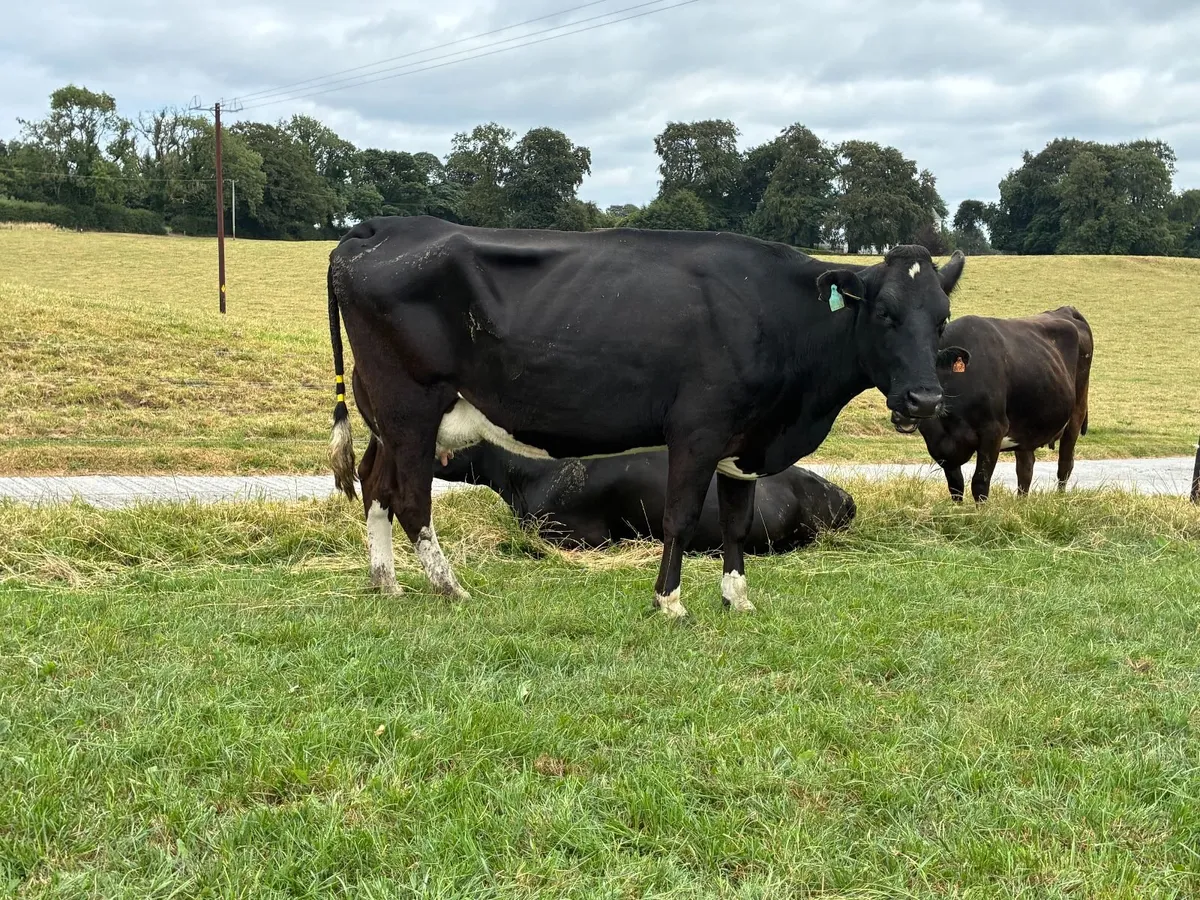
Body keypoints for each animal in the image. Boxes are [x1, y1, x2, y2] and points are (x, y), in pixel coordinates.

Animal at [890, 306, 1093, 503]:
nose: (902, 412)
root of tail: (1066, 310)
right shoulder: (940, 446)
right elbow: (956, 485)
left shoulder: (993, 431)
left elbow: (980, 483)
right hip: (1026, 426)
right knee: (1025, 468)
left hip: (1077, 412)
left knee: (1064, 464)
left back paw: (1060, 500)